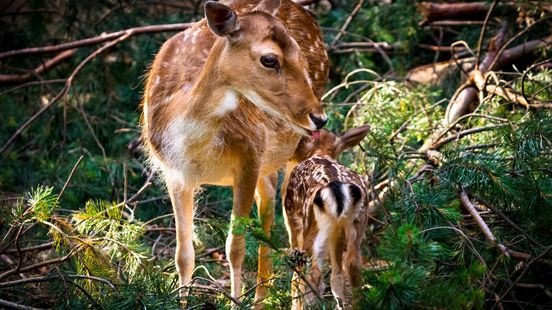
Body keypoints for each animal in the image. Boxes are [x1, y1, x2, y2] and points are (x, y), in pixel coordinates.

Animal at [141, 0, 328, 304]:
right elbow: (183, 253)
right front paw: (181, 302)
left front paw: (236, 302)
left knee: (293, 227)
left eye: (299, 55)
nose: (319, 117)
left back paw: (288, 297)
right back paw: (262, 297)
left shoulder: (249, 157)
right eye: (269, 59)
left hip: (295, 146)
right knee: (268, 198)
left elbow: (235, 247)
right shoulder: (174, 172)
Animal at [284, 124, 370, 308]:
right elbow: (337, 277)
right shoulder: (336, 235)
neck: (320, 151)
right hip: (357, 223)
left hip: (311, 225)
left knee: (313, 272)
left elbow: (296, 275)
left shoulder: (291, 221)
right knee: (352, 265)